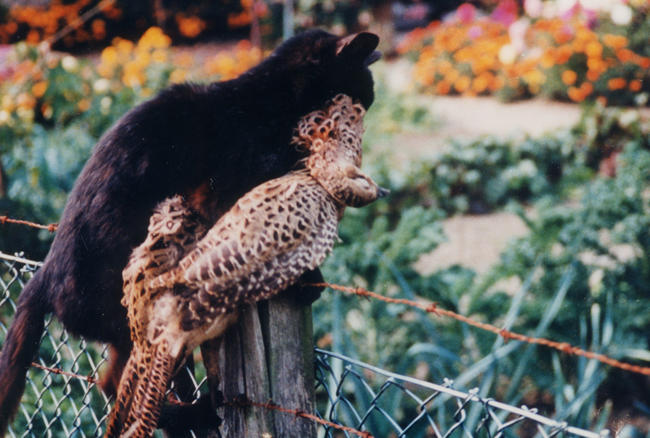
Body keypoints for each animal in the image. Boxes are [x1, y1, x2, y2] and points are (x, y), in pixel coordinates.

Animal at [0, 29, 378, 432]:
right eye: (363, 90)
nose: (369, 104)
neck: (268, 106)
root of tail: (44, 274)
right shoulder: (221, 197)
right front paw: (306, 278)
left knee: (114, 383)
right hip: (130, 315)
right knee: (118, 382)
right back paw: (193, 413)